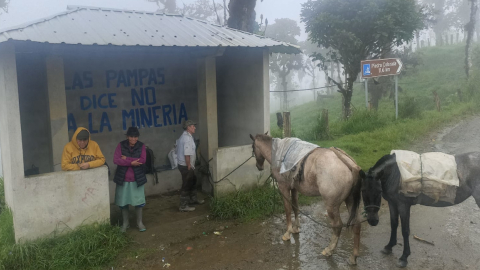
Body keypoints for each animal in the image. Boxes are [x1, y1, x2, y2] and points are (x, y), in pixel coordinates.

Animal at [249, 134, 362, 264]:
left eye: (253, 148)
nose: (259, 166)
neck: (278, 152)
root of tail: (349, 165)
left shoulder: (283, 187)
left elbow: (288, 210)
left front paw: (288, 233)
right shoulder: (294, 188)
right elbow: (295, 207)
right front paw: (296, 228)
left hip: (331, 206)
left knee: (337, 226)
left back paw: (329, 250)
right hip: (350, 200)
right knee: (357, 224)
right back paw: (353, 256)